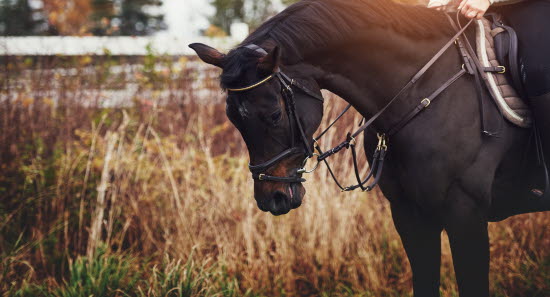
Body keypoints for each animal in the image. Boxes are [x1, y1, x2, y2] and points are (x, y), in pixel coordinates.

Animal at [191, 0, 550, 296]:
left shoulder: (466, 216)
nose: (272, 199)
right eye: (234, 119)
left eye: (275, 115)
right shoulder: (409, 216)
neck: (422, 90)